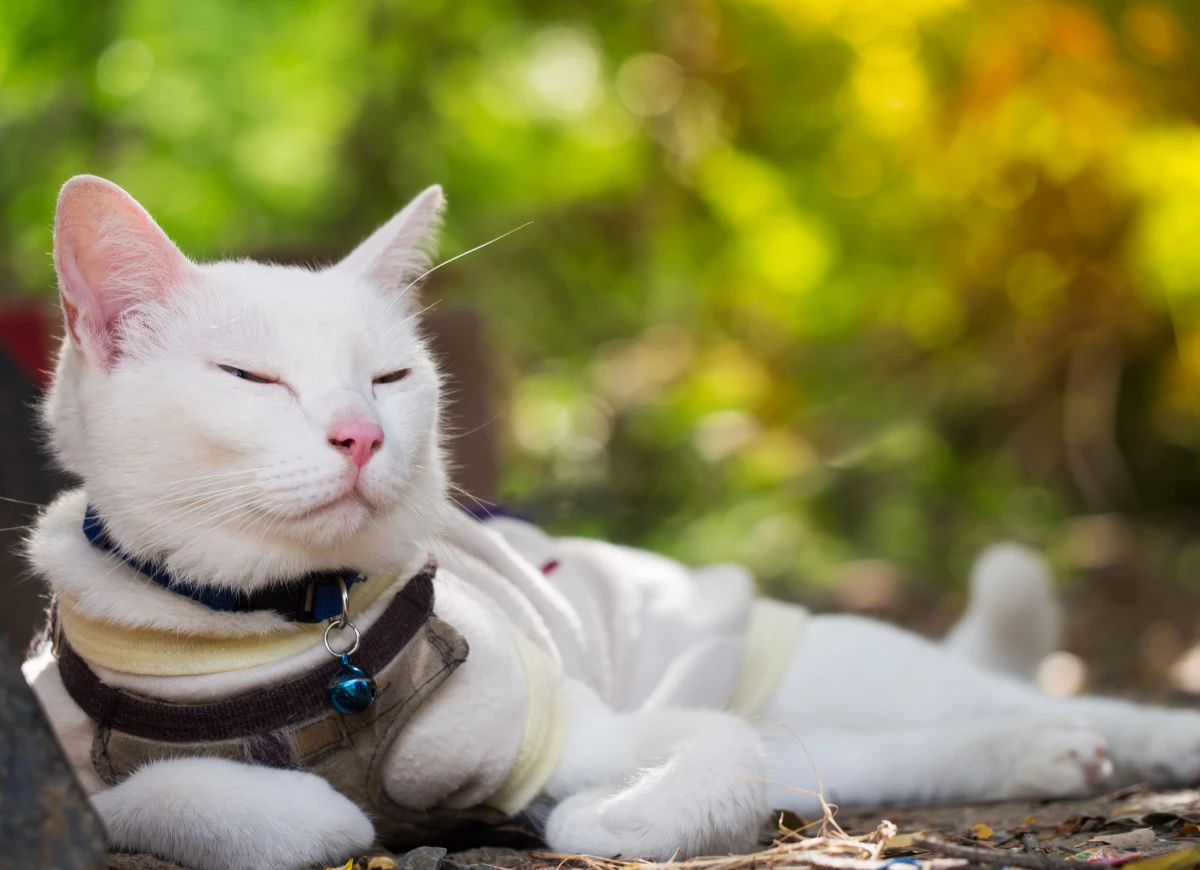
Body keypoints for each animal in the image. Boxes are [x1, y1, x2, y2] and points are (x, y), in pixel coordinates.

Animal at [23, 176, 1200, 868]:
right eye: (252, 379)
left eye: (390, 376)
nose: (361, 432)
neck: (300, 632)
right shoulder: (62, 754)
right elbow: (192, 801)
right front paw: (312, 813)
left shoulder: (583, 726)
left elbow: (684, 770)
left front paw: (605, 817)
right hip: (836, 740)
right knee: (904, 748)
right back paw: (1052, 757)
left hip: (834, 675)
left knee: (1049, 702)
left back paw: (1126, 745)